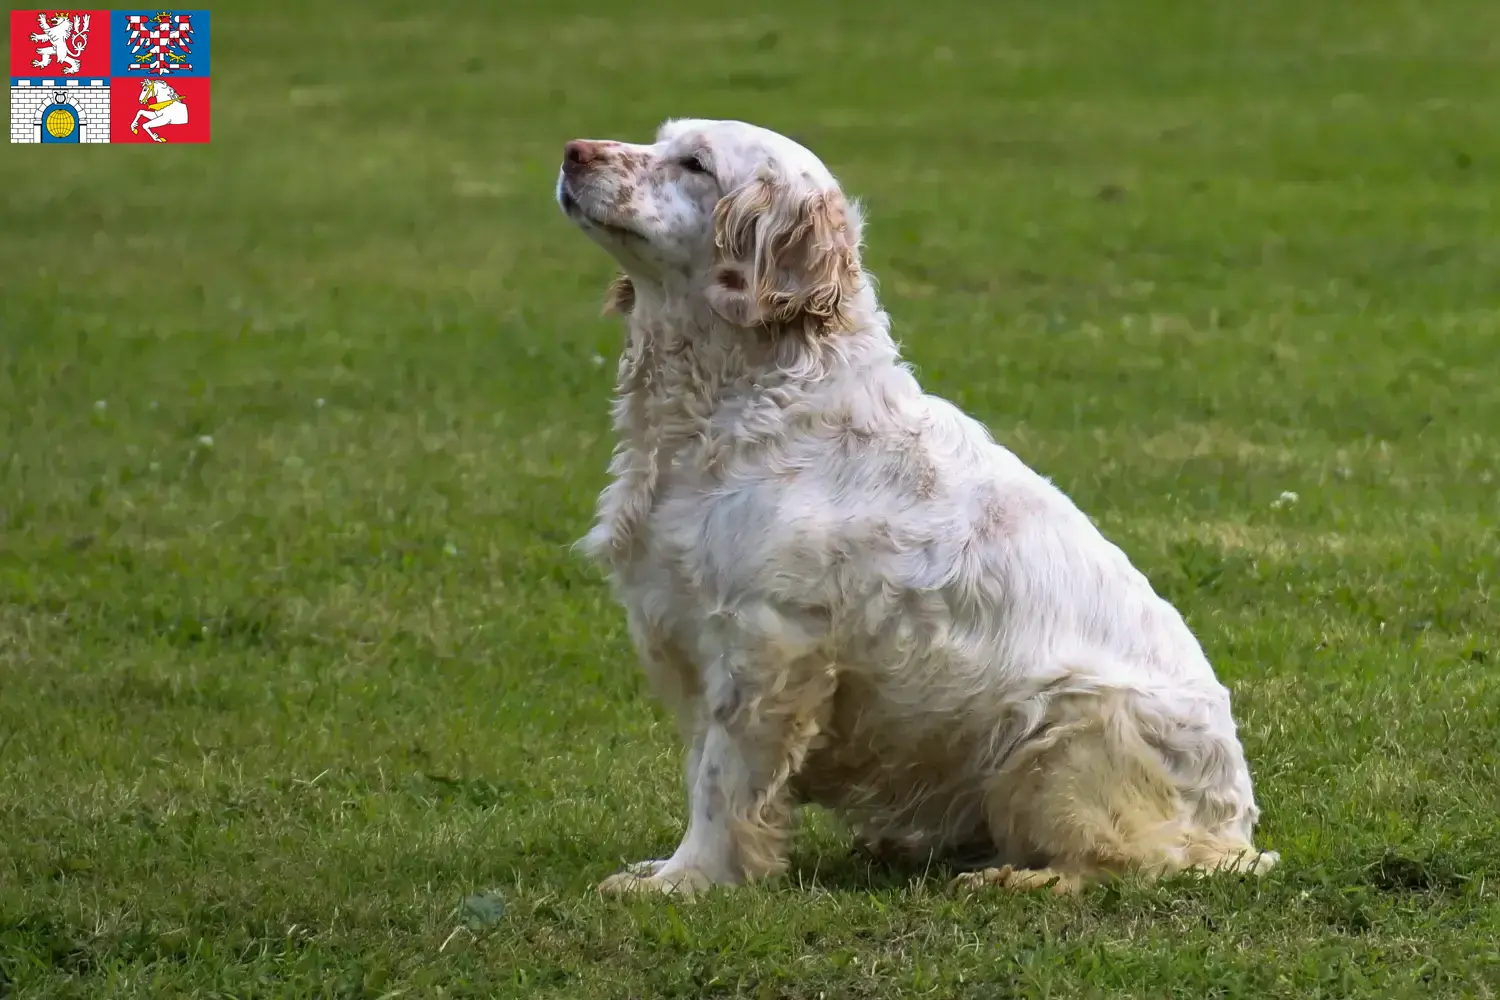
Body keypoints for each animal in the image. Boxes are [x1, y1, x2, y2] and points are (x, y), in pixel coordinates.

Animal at [552, 119, 1278, 899]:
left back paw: (1006, 878)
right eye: (658, 140)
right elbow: (701, 769)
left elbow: (722, 781)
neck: (737, 395)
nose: (573, 151)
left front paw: (689, 879)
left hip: (1062, 729)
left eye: (695, 163)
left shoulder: (767, 641)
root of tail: (1235, 828)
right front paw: (668, 867)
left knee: (1118, 863)